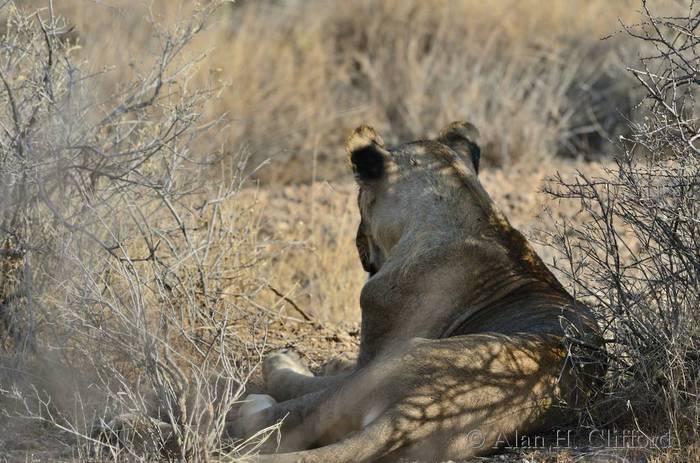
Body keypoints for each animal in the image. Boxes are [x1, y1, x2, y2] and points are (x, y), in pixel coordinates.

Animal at [229, 121, 603, 462]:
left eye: (359, 201)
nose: (357, 240)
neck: (473, 215)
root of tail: (412, 416)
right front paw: (336, 359)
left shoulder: (374, 343)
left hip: (389, 364)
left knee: (296, 406)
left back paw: (267, 384)